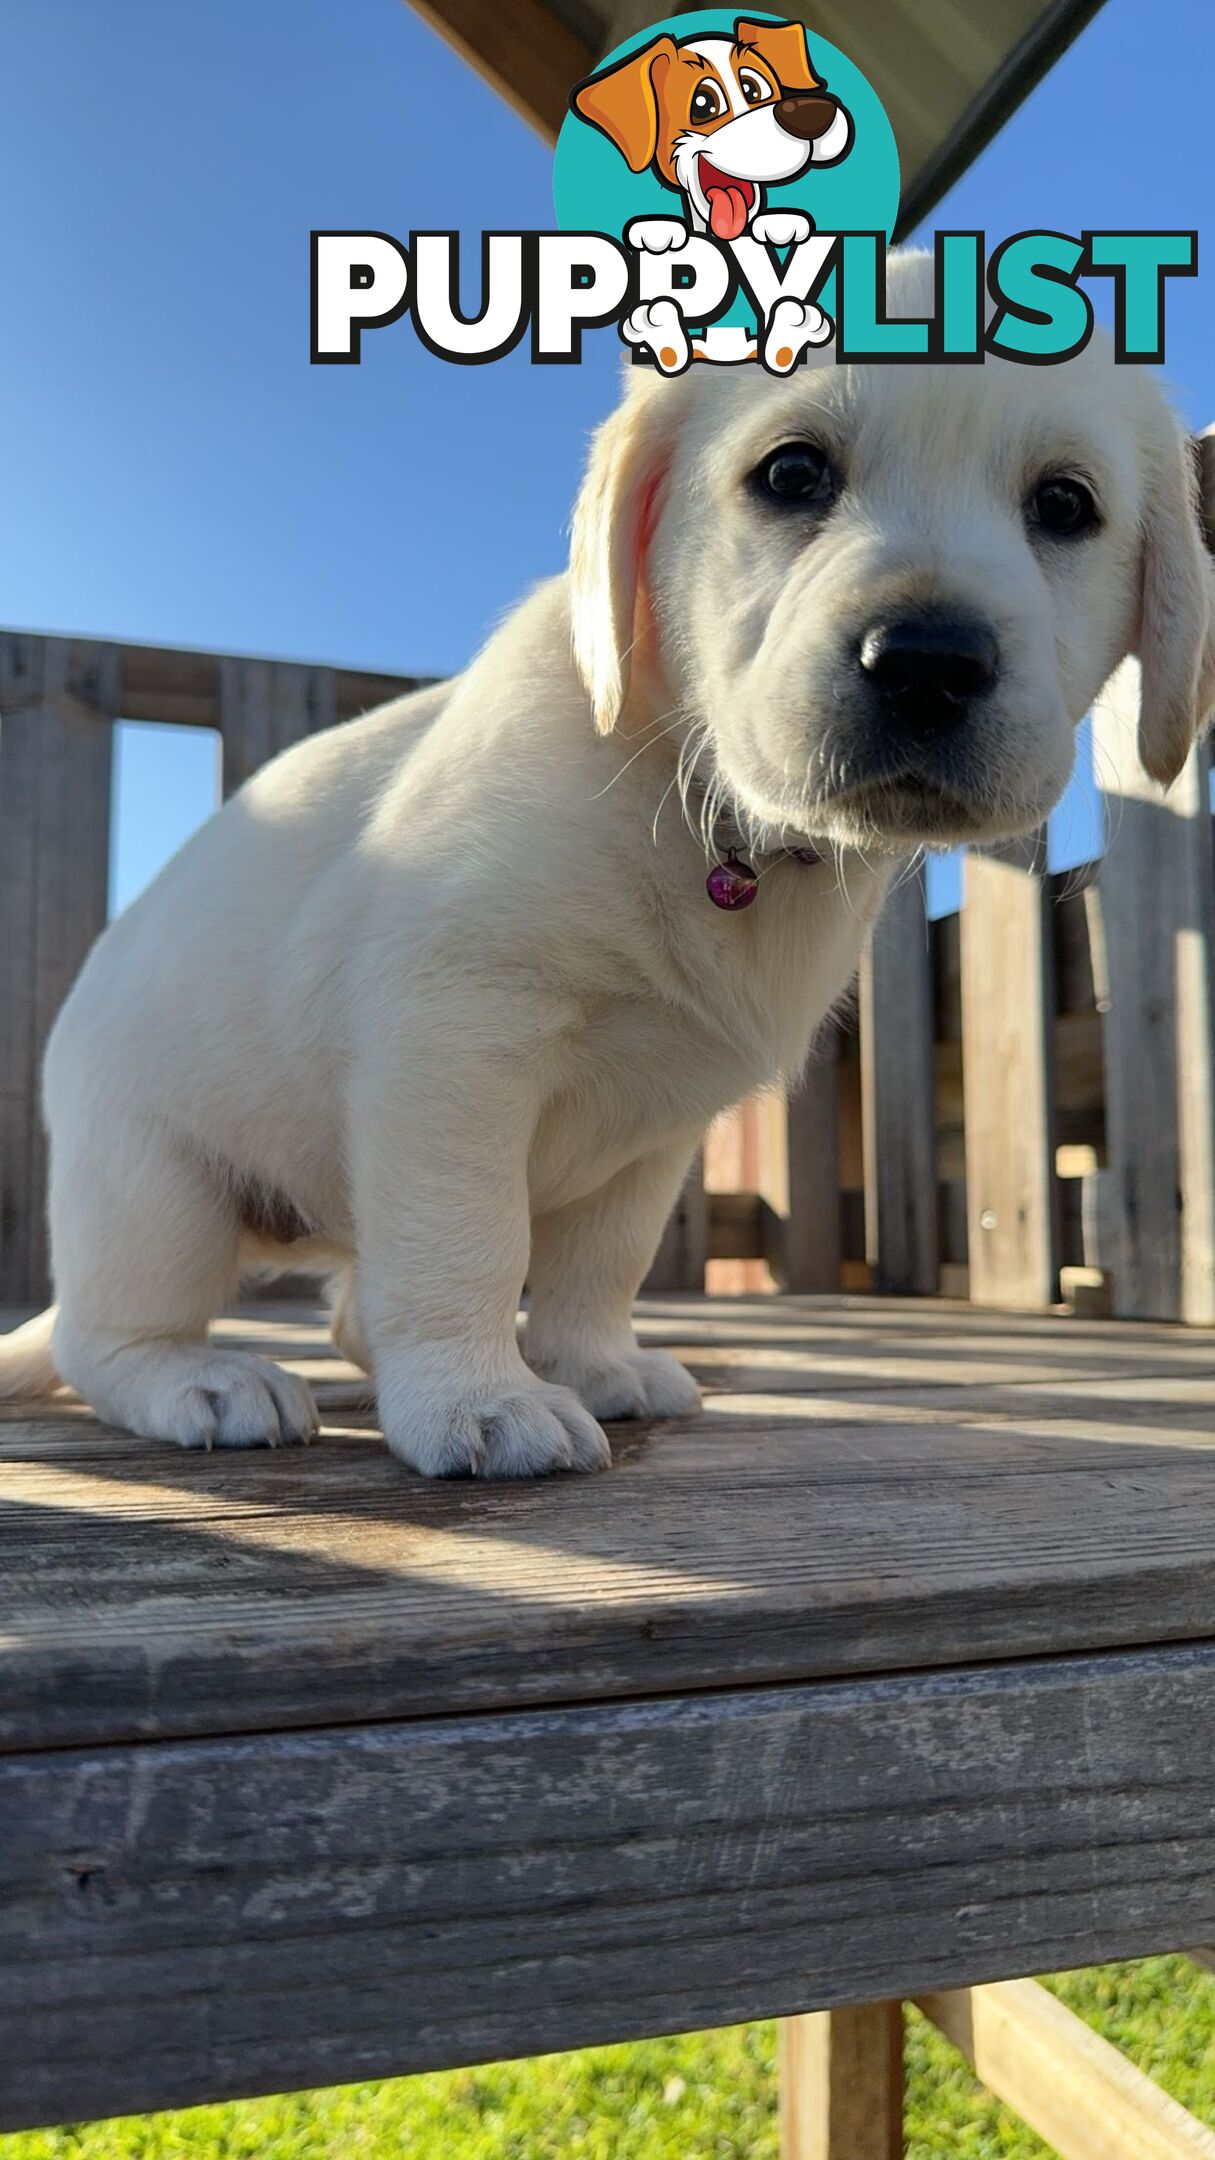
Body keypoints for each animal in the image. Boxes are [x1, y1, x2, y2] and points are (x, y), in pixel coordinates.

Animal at [0, 248, 1202, 1468]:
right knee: (109, 1335)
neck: (704, 808)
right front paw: (477, 1398)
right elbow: (465, 1241)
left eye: (1064, 505)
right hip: (155, 1188)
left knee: (348, 1311)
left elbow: (600, 1264)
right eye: (792, 472)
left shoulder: (658, 1124)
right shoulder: (451, 1043)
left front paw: (590, 1365)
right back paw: (200, 1378)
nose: (925, 661)